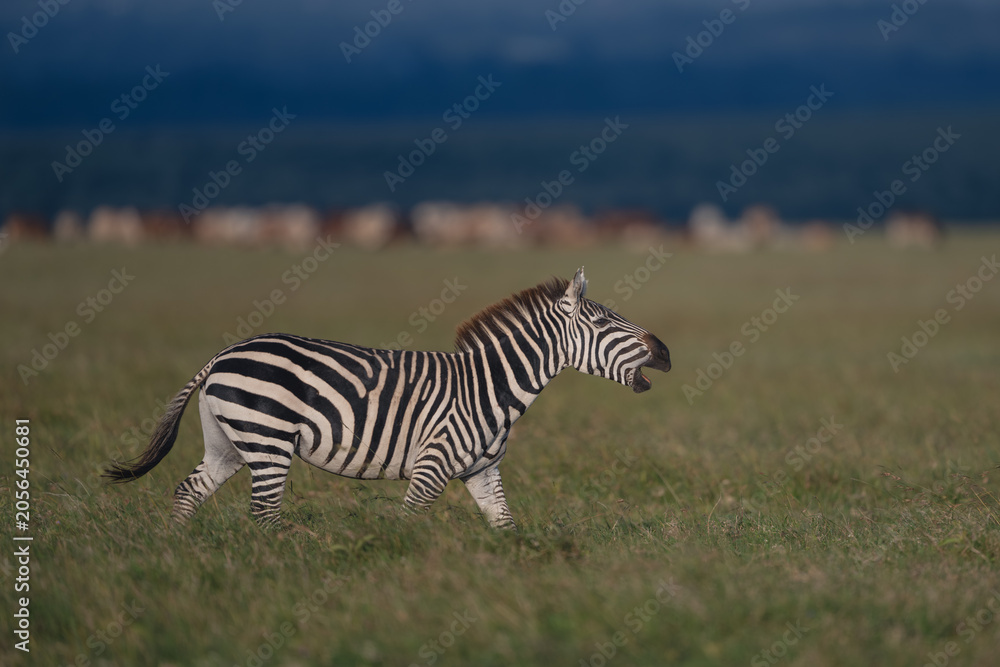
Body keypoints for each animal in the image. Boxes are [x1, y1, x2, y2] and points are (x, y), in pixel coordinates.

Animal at [105, 268, 670, 529]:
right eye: (604, 323)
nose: (665, 352)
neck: (490, 384)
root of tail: (223, 353)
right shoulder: (432, 464)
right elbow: (408, 524)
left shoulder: (483, 471)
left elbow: (506, 526)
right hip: (267, 440)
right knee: (263, 512)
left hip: (229, 441)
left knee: (188, 490)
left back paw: (174, 554)